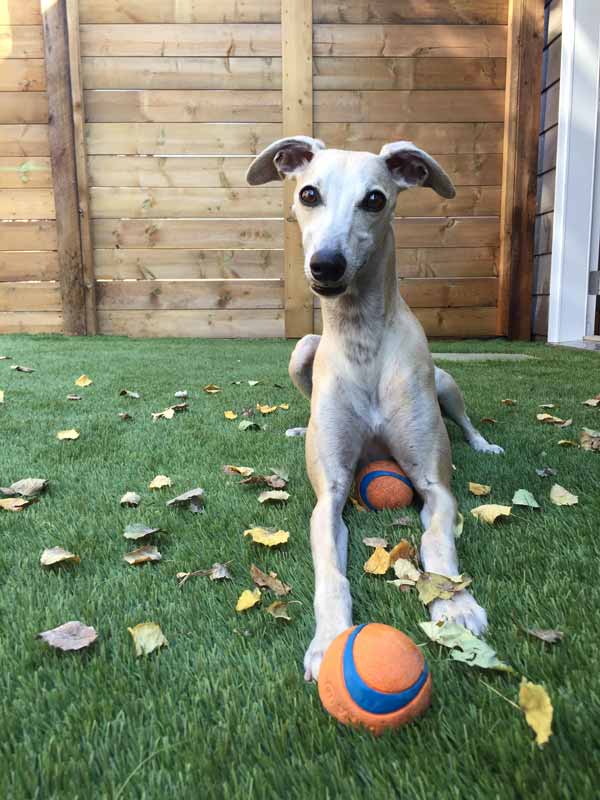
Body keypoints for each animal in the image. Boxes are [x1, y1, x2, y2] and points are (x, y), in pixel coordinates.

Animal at [246, 139, 504, 680]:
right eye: (309, 192)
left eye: (375, 200)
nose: (326, 265)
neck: (362, 339)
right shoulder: (328, 498)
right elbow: (330, 571)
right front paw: (330, 641)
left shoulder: (436, 486)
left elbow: (437, 542)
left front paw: (455, 606)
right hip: (303, 349)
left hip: (444, 382)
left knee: (465, 418)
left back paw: (484, 443)